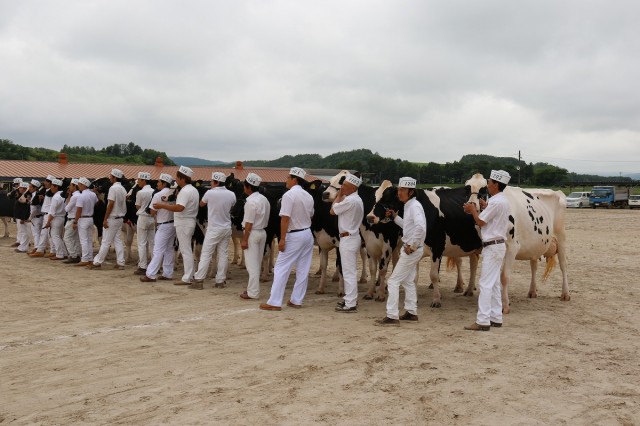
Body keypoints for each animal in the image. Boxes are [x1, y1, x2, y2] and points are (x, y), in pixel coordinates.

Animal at [464, 174, 568, 312]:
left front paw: (504, 305)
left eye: (484, 189)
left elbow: (504, 276)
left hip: (561, 238)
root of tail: (557, 192)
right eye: (467, 188)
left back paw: (565, 294)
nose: (471, 204)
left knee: (563, 265)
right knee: (534, 266)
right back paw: (532, 291)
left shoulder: (512, 247)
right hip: (535, 245)